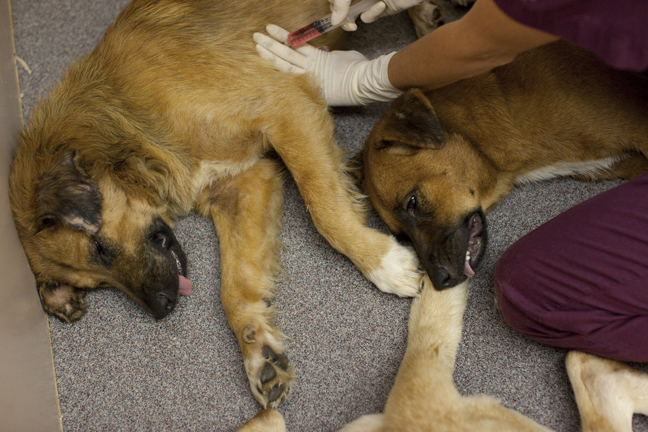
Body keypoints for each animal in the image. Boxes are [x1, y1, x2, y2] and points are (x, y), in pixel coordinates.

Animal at [10, 0, 426, 408]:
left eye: (99, 246)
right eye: (98, 285)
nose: (161, 307)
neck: (128, 129)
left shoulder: (287, 109)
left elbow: (324, 208)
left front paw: (382, 262)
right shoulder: (243, 183)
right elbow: (234, 285)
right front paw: (257, 349)